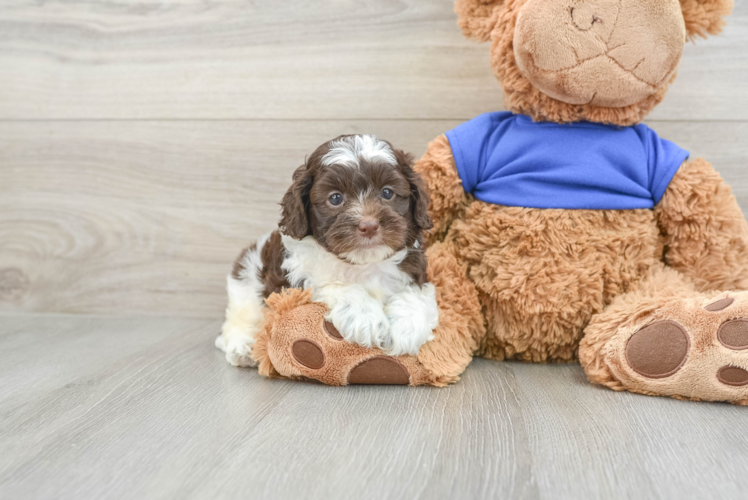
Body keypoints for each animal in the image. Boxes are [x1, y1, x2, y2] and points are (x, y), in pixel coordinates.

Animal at [215, 135, 438, 366]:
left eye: (387, 192)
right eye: (335, 198)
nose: (369, 226)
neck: (363, 263)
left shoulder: (416, 271)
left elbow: (416, 294)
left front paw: (407, 327)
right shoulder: (296, 280)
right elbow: (333, 284)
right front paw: (364, 316)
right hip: (246, 283)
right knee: (240, 317)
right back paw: (242, 347)